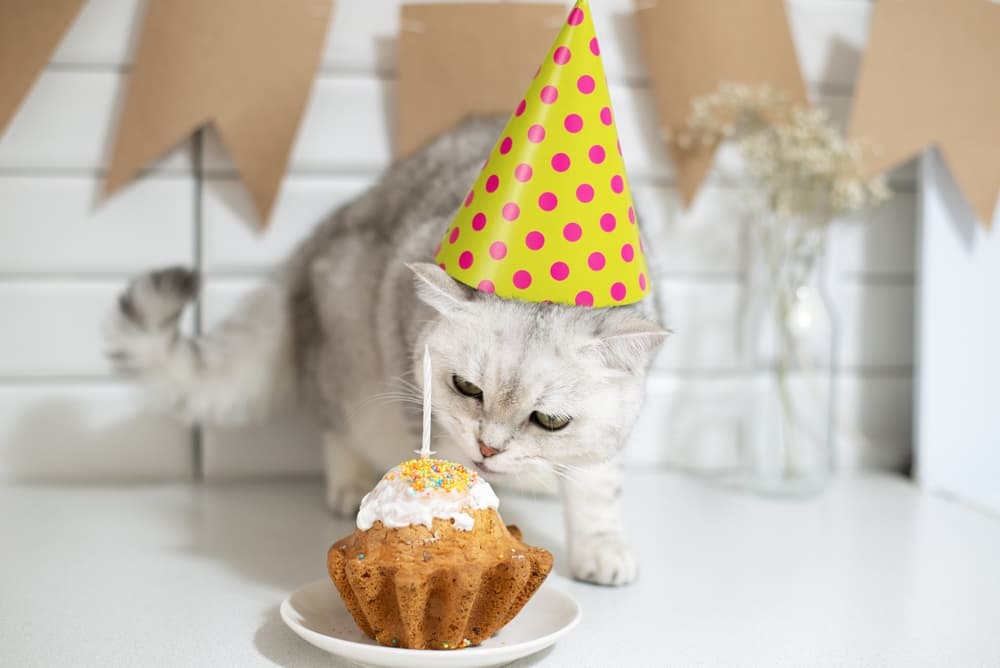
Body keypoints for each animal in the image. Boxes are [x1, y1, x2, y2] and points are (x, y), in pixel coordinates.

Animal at [105, 116, 668, 584]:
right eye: (467, 387)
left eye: (550, 421)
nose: (488, 449)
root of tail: (330, 227)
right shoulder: (418, 403)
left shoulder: (608, 439)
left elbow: (597, 488)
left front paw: (601, 549)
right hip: (346, 345)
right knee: (334, 422)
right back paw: (349, 482)